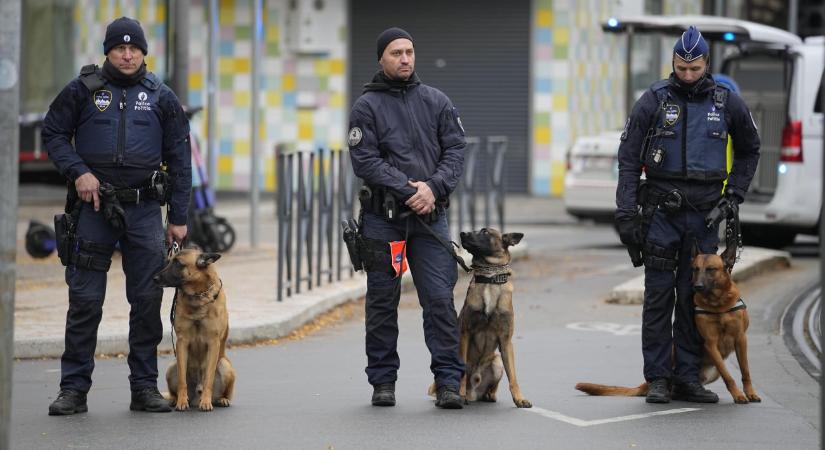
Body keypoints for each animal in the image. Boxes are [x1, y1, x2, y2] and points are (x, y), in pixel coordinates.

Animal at [153, 246, 235, 412]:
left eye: (178, 263)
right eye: (169, 261)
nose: (154, 278)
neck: (198, 297)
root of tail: (196, 396)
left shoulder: (213, 343)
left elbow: (208, 378)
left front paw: (206, 402)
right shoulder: (182, 342)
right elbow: (182, 381)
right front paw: (181, 401)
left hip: (225, 365)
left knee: (224, 392)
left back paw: (220, 399)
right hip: (172, 366)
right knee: (176, 388)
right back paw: (175, 400)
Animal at [428, 229, 532, 408]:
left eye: (485, 232)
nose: (462, 233)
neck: (489, 278)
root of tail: (474, 392)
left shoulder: (506, 341)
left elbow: (513, 376)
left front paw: (519, 398)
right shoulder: (465, 333)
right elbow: (461, 371)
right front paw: (460, 394)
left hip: (497, 362)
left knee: (492, 386)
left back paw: (490, 395)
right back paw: (458, 394)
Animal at [572, 246, 760, 404]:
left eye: (711, 269)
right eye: (695, 269)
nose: (696, 286)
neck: (718, 304)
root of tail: (646, 384)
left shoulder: (741, 339)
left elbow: (745, 371)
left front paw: (750, 393)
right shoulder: (710, 343)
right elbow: (728, 375)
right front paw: (738, 394)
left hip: (712, 373)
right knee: (674, 386)